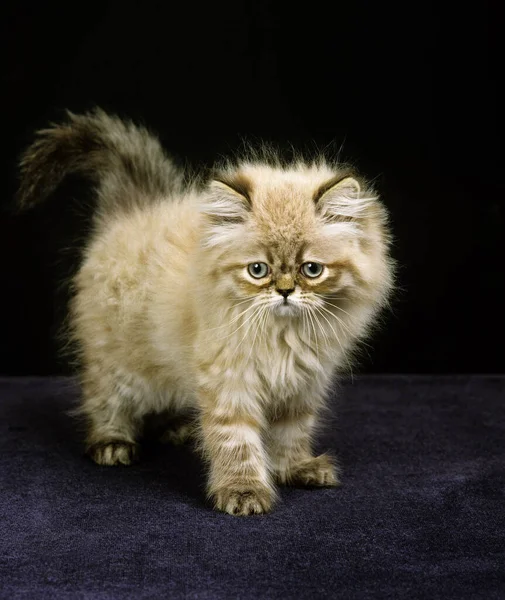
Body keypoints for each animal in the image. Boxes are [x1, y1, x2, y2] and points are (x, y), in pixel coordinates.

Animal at [16, 109, 394, 516]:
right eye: (258, 270)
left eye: (311, 270)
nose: (285, 291)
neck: (283, 336)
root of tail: (133, 212)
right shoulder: (229, 380)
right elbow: (237, 442)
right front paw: (243, 492)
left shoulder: (302, 386)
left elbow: (291, 433)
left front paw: (295, 468)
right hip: (118, 359)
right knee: (104, 397)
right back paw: (112, 443)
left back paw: (179, 427)